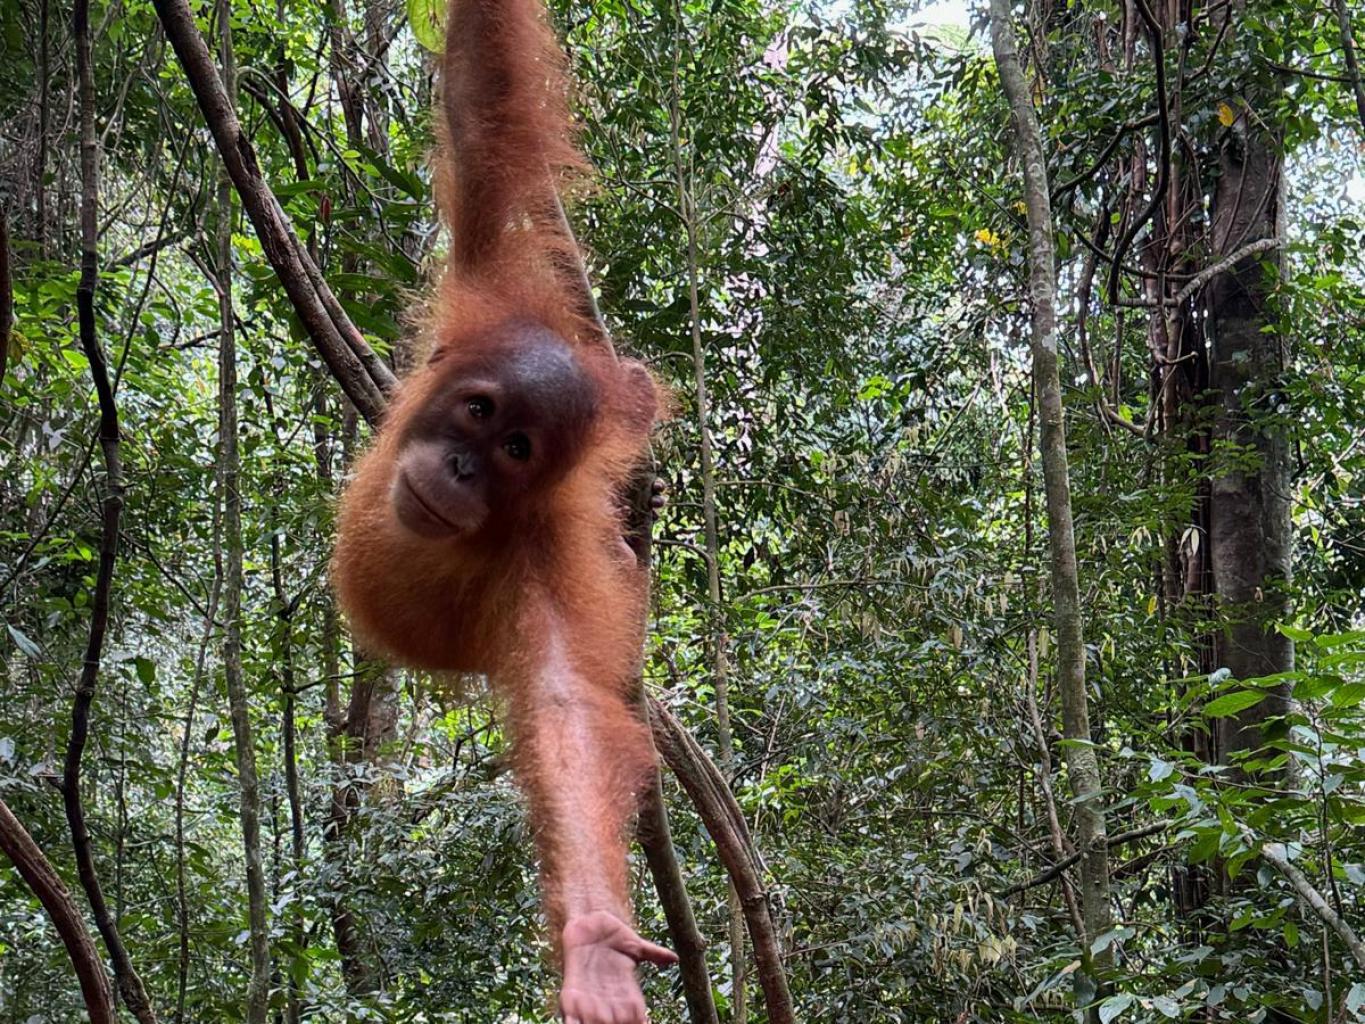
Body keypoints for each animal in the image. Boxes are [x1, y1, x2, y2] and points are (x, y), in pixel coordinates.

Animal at [329, 0, 677, 1020]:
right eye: (481, 414)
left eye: (517, 453)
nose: (458, 468)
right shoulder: (485, 291)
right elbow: (480, 116)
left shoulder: (545, 569)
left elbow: (567, 721)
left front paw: (595, 941)